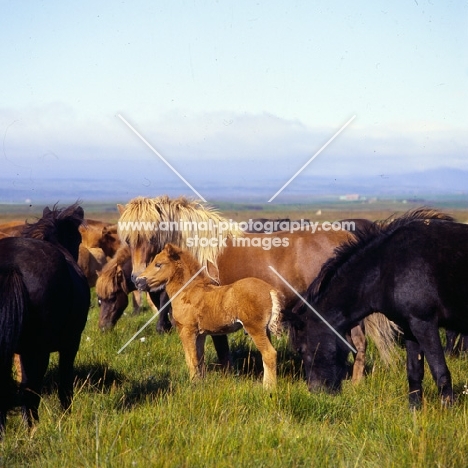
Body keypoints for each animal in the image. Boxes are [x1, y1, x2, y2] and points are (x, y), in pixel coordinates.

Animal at [0, 203, 89, 436]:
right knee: (30, 392)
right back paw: (33, 431)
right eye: (78, 238)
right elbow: (65, 384)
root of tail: (11, 266)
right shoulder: (71, 344)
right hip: (39, 351)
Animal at [134, 243, 282, 390]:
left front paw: (193, 384)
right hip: (264, 330)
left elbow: (191, 359)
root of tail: (270, 289)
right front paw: (201, 382)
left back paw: (268, 388)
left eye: (158, 264)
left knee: (269, 354)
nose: (138, 282)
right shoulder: (200, 334)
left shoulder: (186, 331)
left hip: (255, 329)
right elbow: (199, 359)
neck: (188, 291)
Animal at [284, 210, 466, 408]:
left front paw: (447, 408)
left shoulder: (424, 324)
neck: (387, 266)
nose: (316, 391)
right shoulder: (409, 327)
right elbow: (414, 372)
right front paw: (414, 410)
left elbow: (440, 371)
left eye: (301, 349)